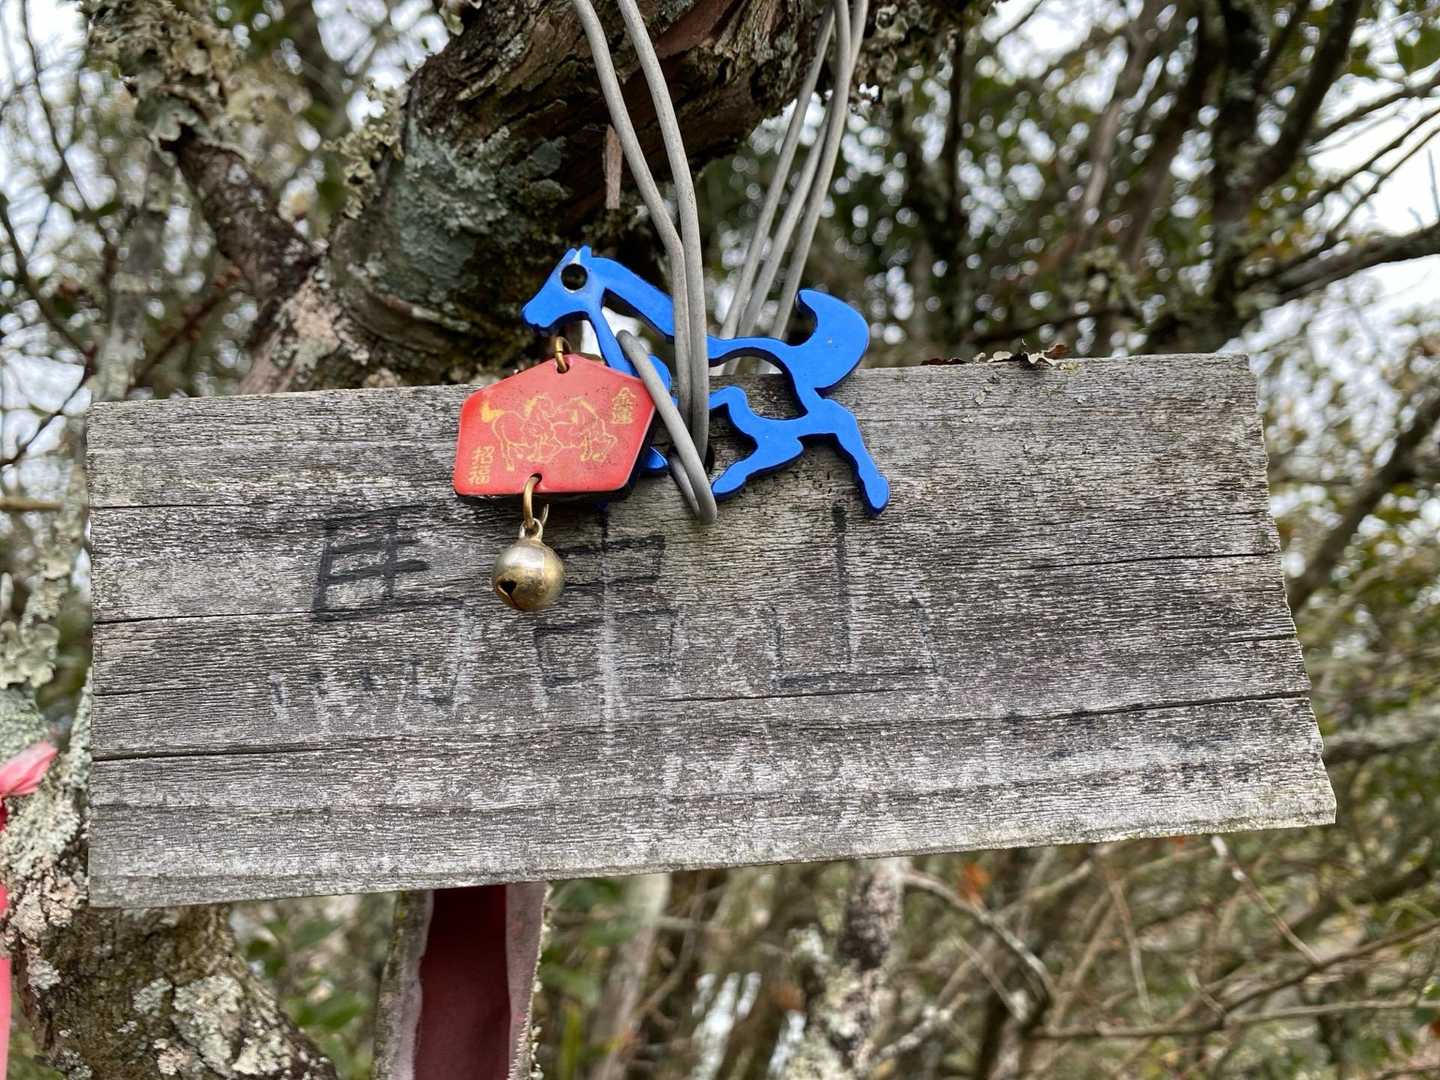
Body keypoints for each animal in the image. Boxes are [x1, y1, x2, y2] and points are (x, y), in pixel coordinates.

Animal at [520, 246, 890, 514]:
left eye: (570, 280)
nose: (529, 314)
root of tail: (796, 358)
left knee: (833, 423)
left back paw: (874, 488)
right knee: (787, 443)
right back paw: (729, 480)